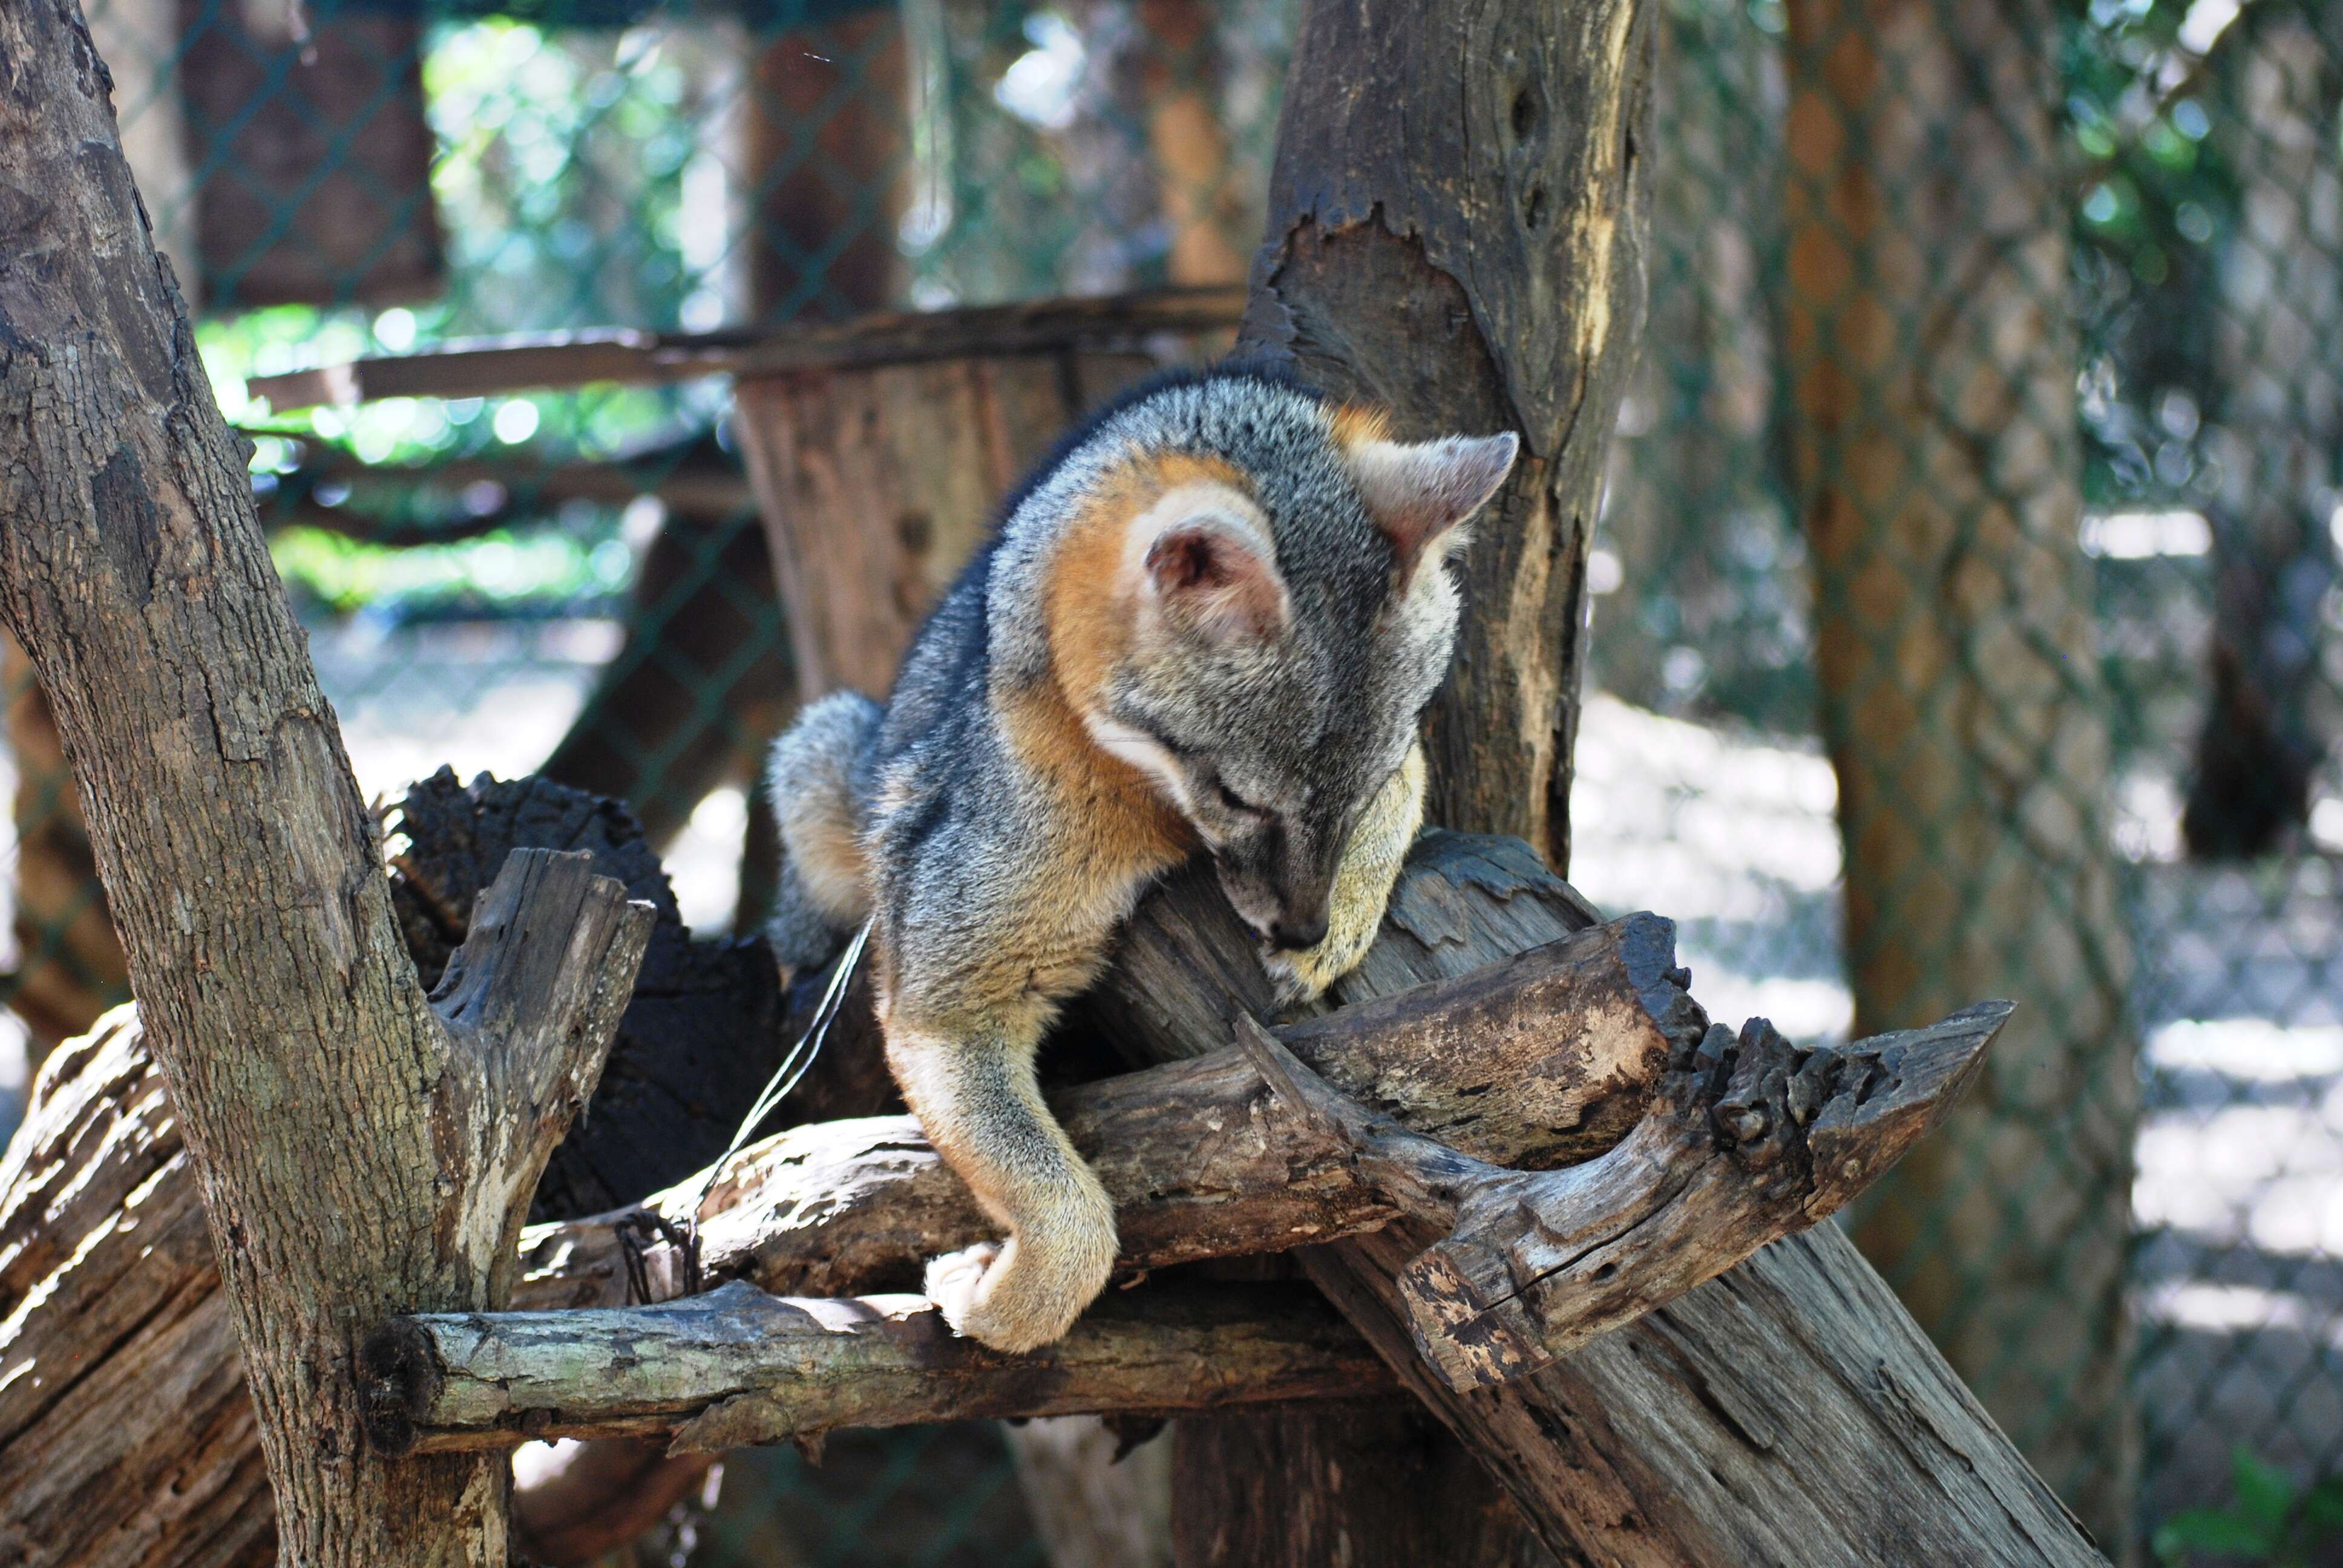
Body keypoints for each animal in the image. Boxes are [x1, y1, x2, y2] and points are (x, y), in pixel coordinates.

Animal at [759, 368, 1509, 1350]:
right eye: (1240, 798)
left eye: (1363, 787)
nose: (1303, 926)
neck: (1158, 812)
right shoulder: (946, 1002)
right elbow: (1072, 1216)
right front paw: (1004, 1303)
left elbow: (1406, 802)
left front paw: (1343, 920)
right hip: (821, 768)